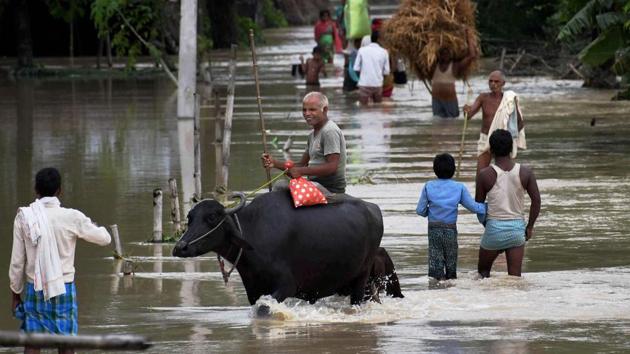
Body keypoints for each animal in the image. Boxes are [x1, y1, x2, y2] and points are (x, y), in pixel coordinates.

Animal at [175, 191, 388, 304]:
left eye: (212, 217)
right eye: (190, 218)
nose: (180, 248)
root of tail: (374, 209)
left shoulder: (286, 286)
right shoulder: (253, 290)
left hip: (361, 279)